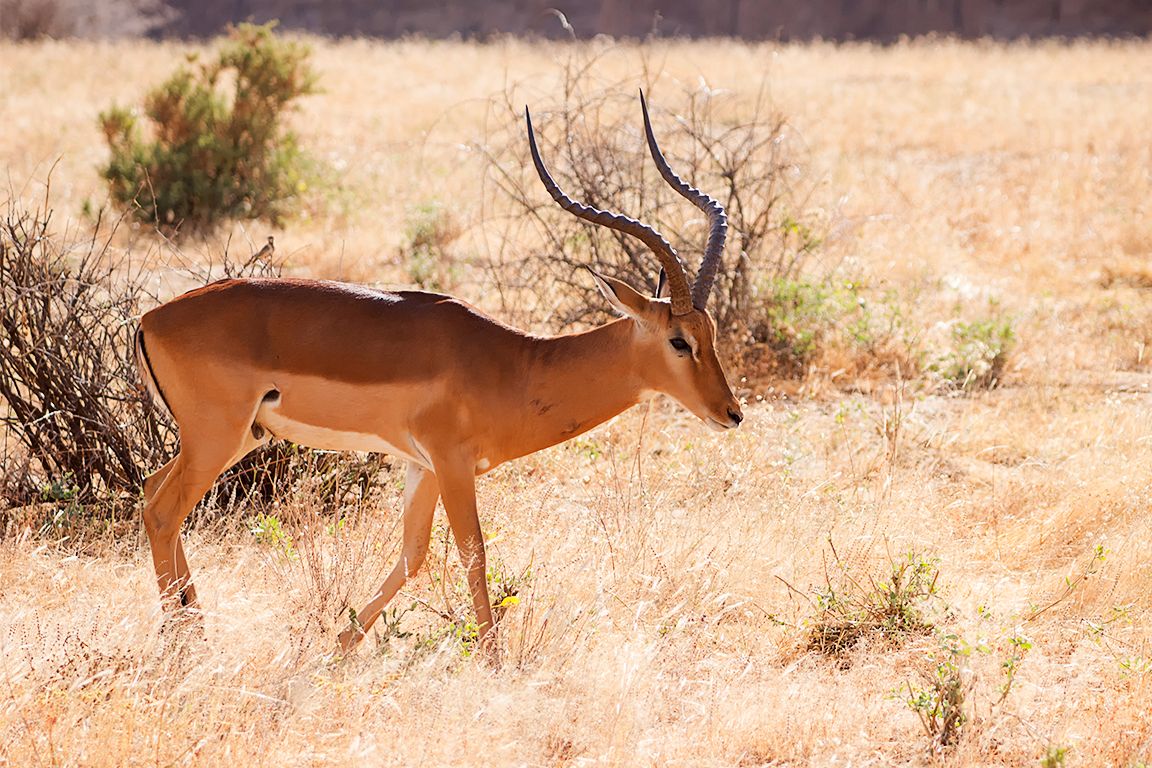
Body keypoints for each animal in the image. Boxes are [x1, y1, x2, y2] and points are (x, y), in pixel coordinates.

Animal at [134, 92, 743, 653]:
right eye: (679, 341)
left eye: (711, 332)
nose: (732, 413)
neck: (514, 365)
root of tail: (150, 318)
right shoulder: (453, 463)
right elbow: (473, 554)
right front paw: (494, 665)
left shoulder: (420, 466)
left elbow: (413, 554)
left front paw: (338, 648)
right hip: (217, 437)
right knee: (164, 511)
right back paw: (185, 645)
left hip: (236, 438)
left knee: (150, 490)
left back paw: (193, 627)